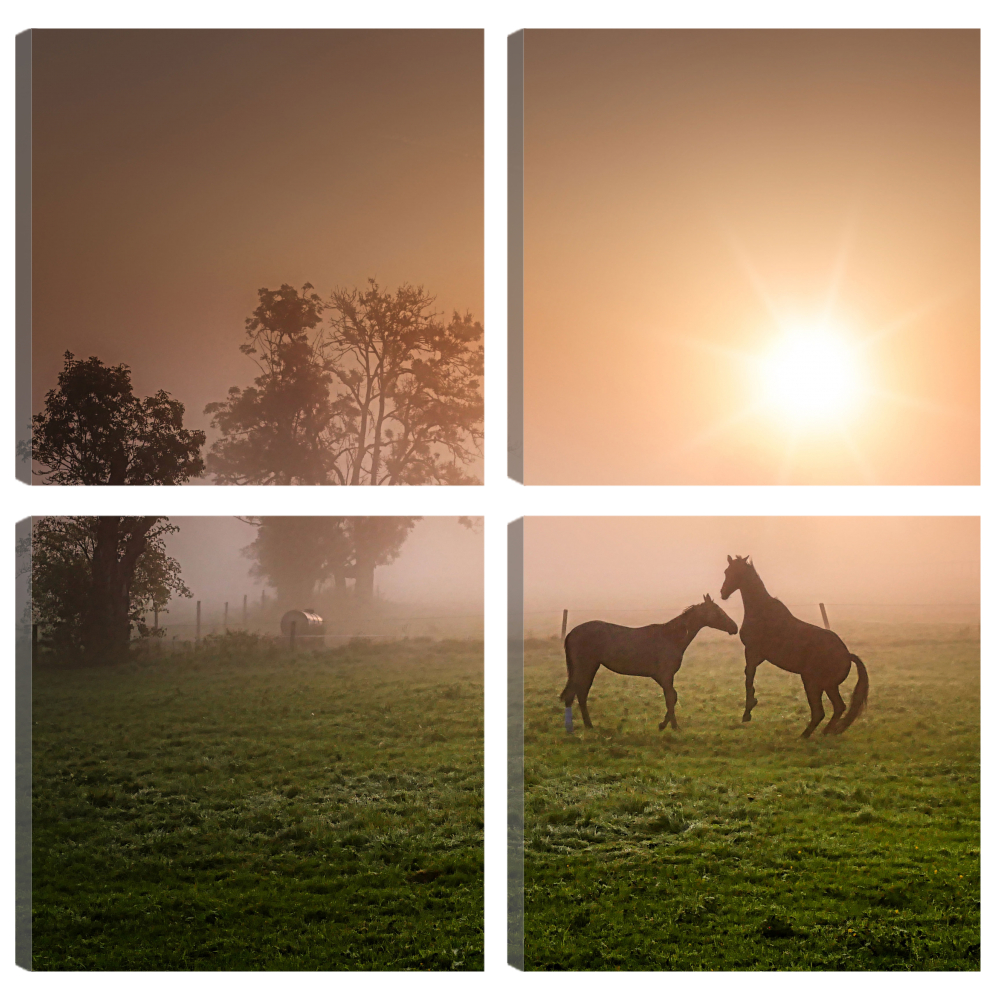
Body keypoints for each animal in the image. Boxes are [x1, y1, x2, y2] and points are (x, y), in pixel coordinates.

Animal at [560, 596, 740, 732]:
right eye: (717, 611)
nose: (735, 627)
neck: (671, 637)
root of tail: (571, 634)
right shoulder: (665, 676)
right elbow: (671, 697)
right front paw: (672, 726)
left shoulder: (662, 677)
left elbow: (673, 696)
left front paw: (665, 724)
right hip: (585, 667)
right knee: (575, 694)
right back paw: (573, 728)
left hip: (590, 667)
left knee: (580, 693)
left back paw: (587, 725)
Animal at [720, 560, 868, 740]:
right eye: (727, 571)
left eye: (735, 572)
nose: (723, 592)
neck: (761, 611)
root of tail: (847, 655)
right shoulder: (758, 656)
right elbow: (749, 677)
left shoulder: (752, 651)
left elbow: (748, 678)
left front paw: (748, 711)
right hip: (828, 686)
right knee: (838, 707)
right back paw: (825, 732)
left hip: (813, 683)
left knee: (820, 711)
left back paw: (805, 735)